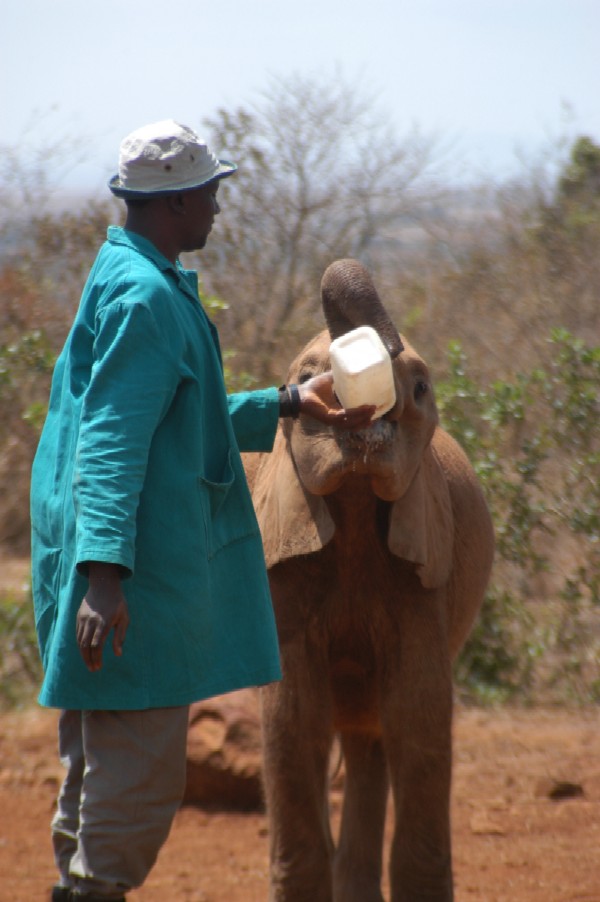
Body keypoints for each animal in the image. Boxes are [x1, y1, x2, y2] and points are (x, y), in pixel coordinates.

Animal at [246, 258, 494, 900]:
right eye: (307, 377)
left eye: (421, 389)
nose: (359, 398)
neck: (356, 505)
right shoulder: (284, 566)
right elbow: (293, 718)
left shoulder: (424, 566)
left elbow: (418, 713)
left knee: (372, 737)